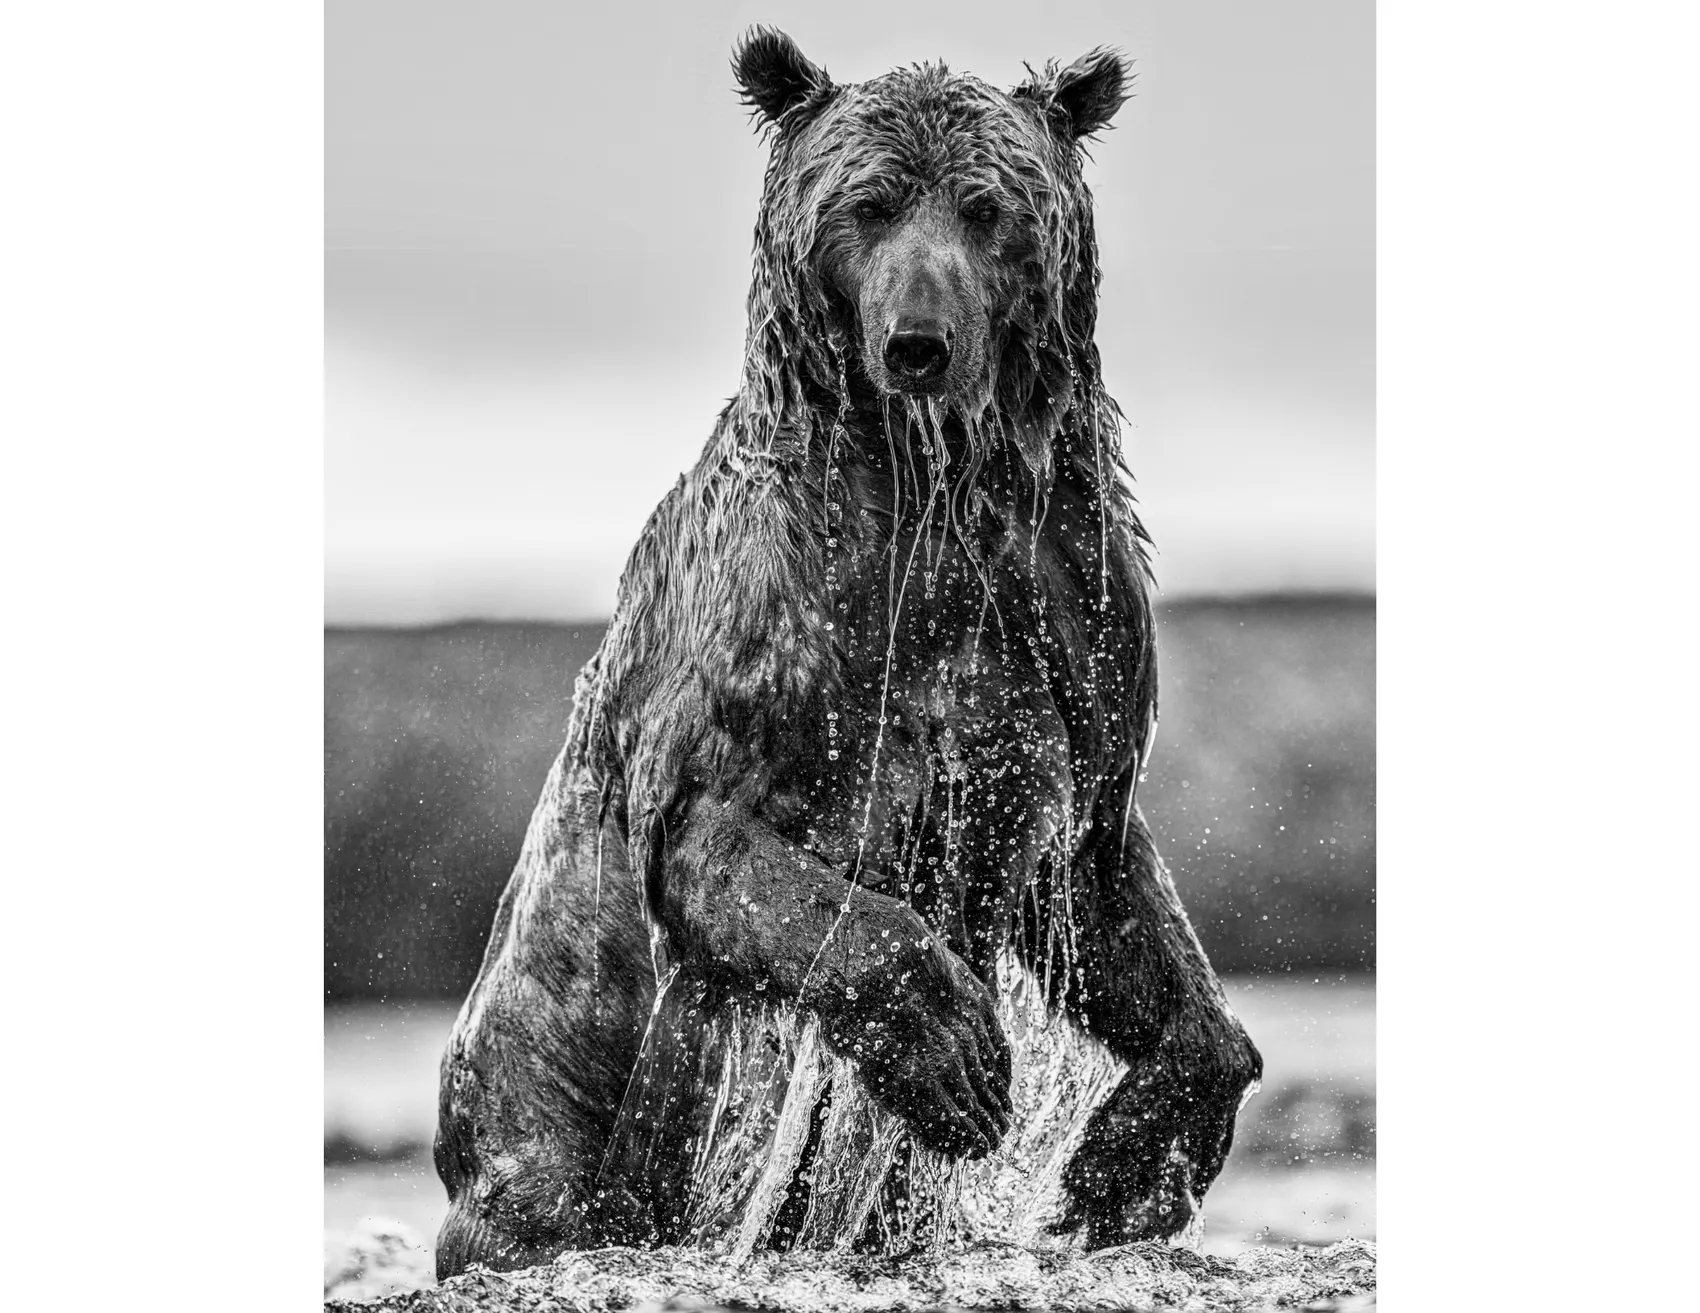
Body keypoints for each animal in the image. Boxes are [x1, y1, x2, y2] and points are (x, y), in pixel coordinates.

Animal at [431, 28, 1262, 1279]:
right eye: (864, 205)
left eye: (985, 207)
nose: (916, 342)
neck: (934, 491)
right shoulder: (775, 640)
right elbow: (731, 847)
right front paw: (957, 1053)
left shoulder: (1066, 645)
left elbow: (1112, 902)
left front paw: (1120, 1169)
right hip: (538, 1120)